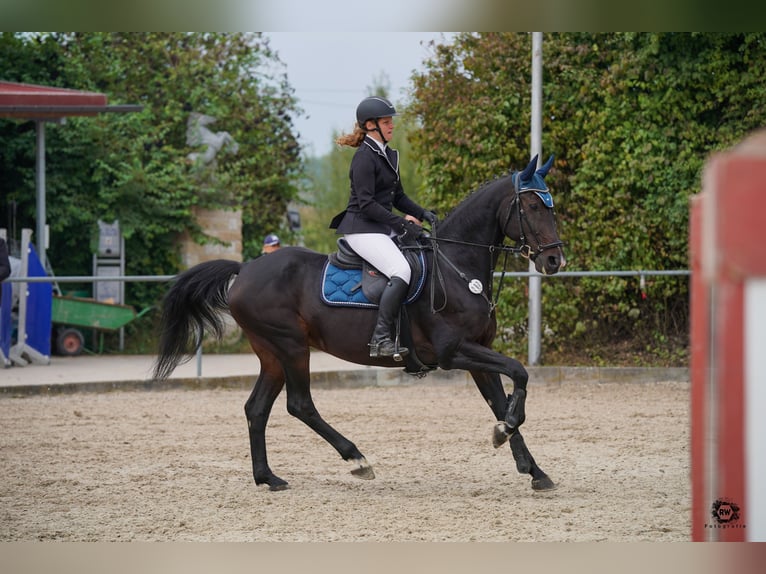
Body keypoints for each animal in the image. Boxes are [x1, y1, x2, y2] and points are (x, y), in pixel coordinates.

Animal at [153, 155, 568, 492]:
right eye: (532, 205)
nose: (554, 261)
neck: (457, 267)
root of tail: (245, 269)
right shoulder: (455, 351)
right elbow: (519, 373)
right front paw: (506, 433)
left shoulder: (478, 353)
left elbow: (502, 399)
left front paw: (531, 466)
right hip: (291, 346)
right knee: (300, 405)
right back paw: (356, 459)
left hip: (271, 353)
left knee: (257, 409)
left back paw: (268, 477)